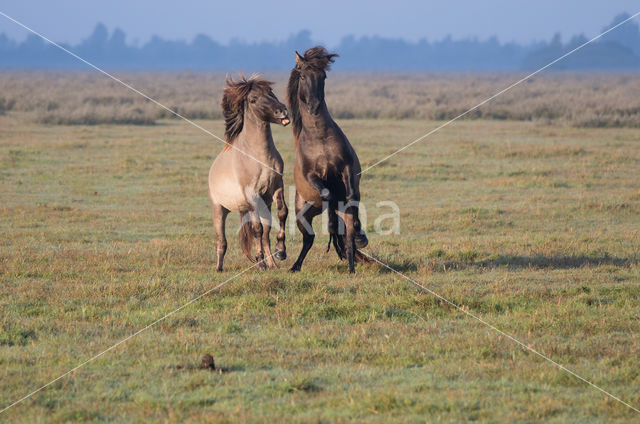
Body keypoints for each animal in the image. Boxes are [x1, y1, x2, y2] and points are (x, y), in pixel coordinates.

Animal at [209, 76, 288, 272]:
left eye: (271, 92)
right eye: (253, 99)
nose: (282, 111)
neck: (260, 157)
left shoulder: (277, 188)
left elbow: (282, 214)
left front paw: (281, 251)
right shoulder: (252, 194)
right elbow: (257, 229)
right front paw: (260, 260)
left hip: (261, 204)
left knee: (266, 233)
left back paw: (273, 263)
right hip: (219, 209)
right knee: (222, 240)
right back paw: (219, 267)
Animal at [288, 45, 372, 272]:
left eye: (323, 76)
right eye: (302, 75)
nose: (315, 106)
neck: (320, 138)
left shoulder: (347, 169)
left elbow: (351, 197)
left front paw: (359, 233)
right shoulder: (312, 177)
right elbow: (327, 194)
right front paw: (332, 224)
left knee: (348, 237)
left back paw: (352, 263)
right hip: (302, 216)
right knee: (309, 239)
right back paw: (295, 266)